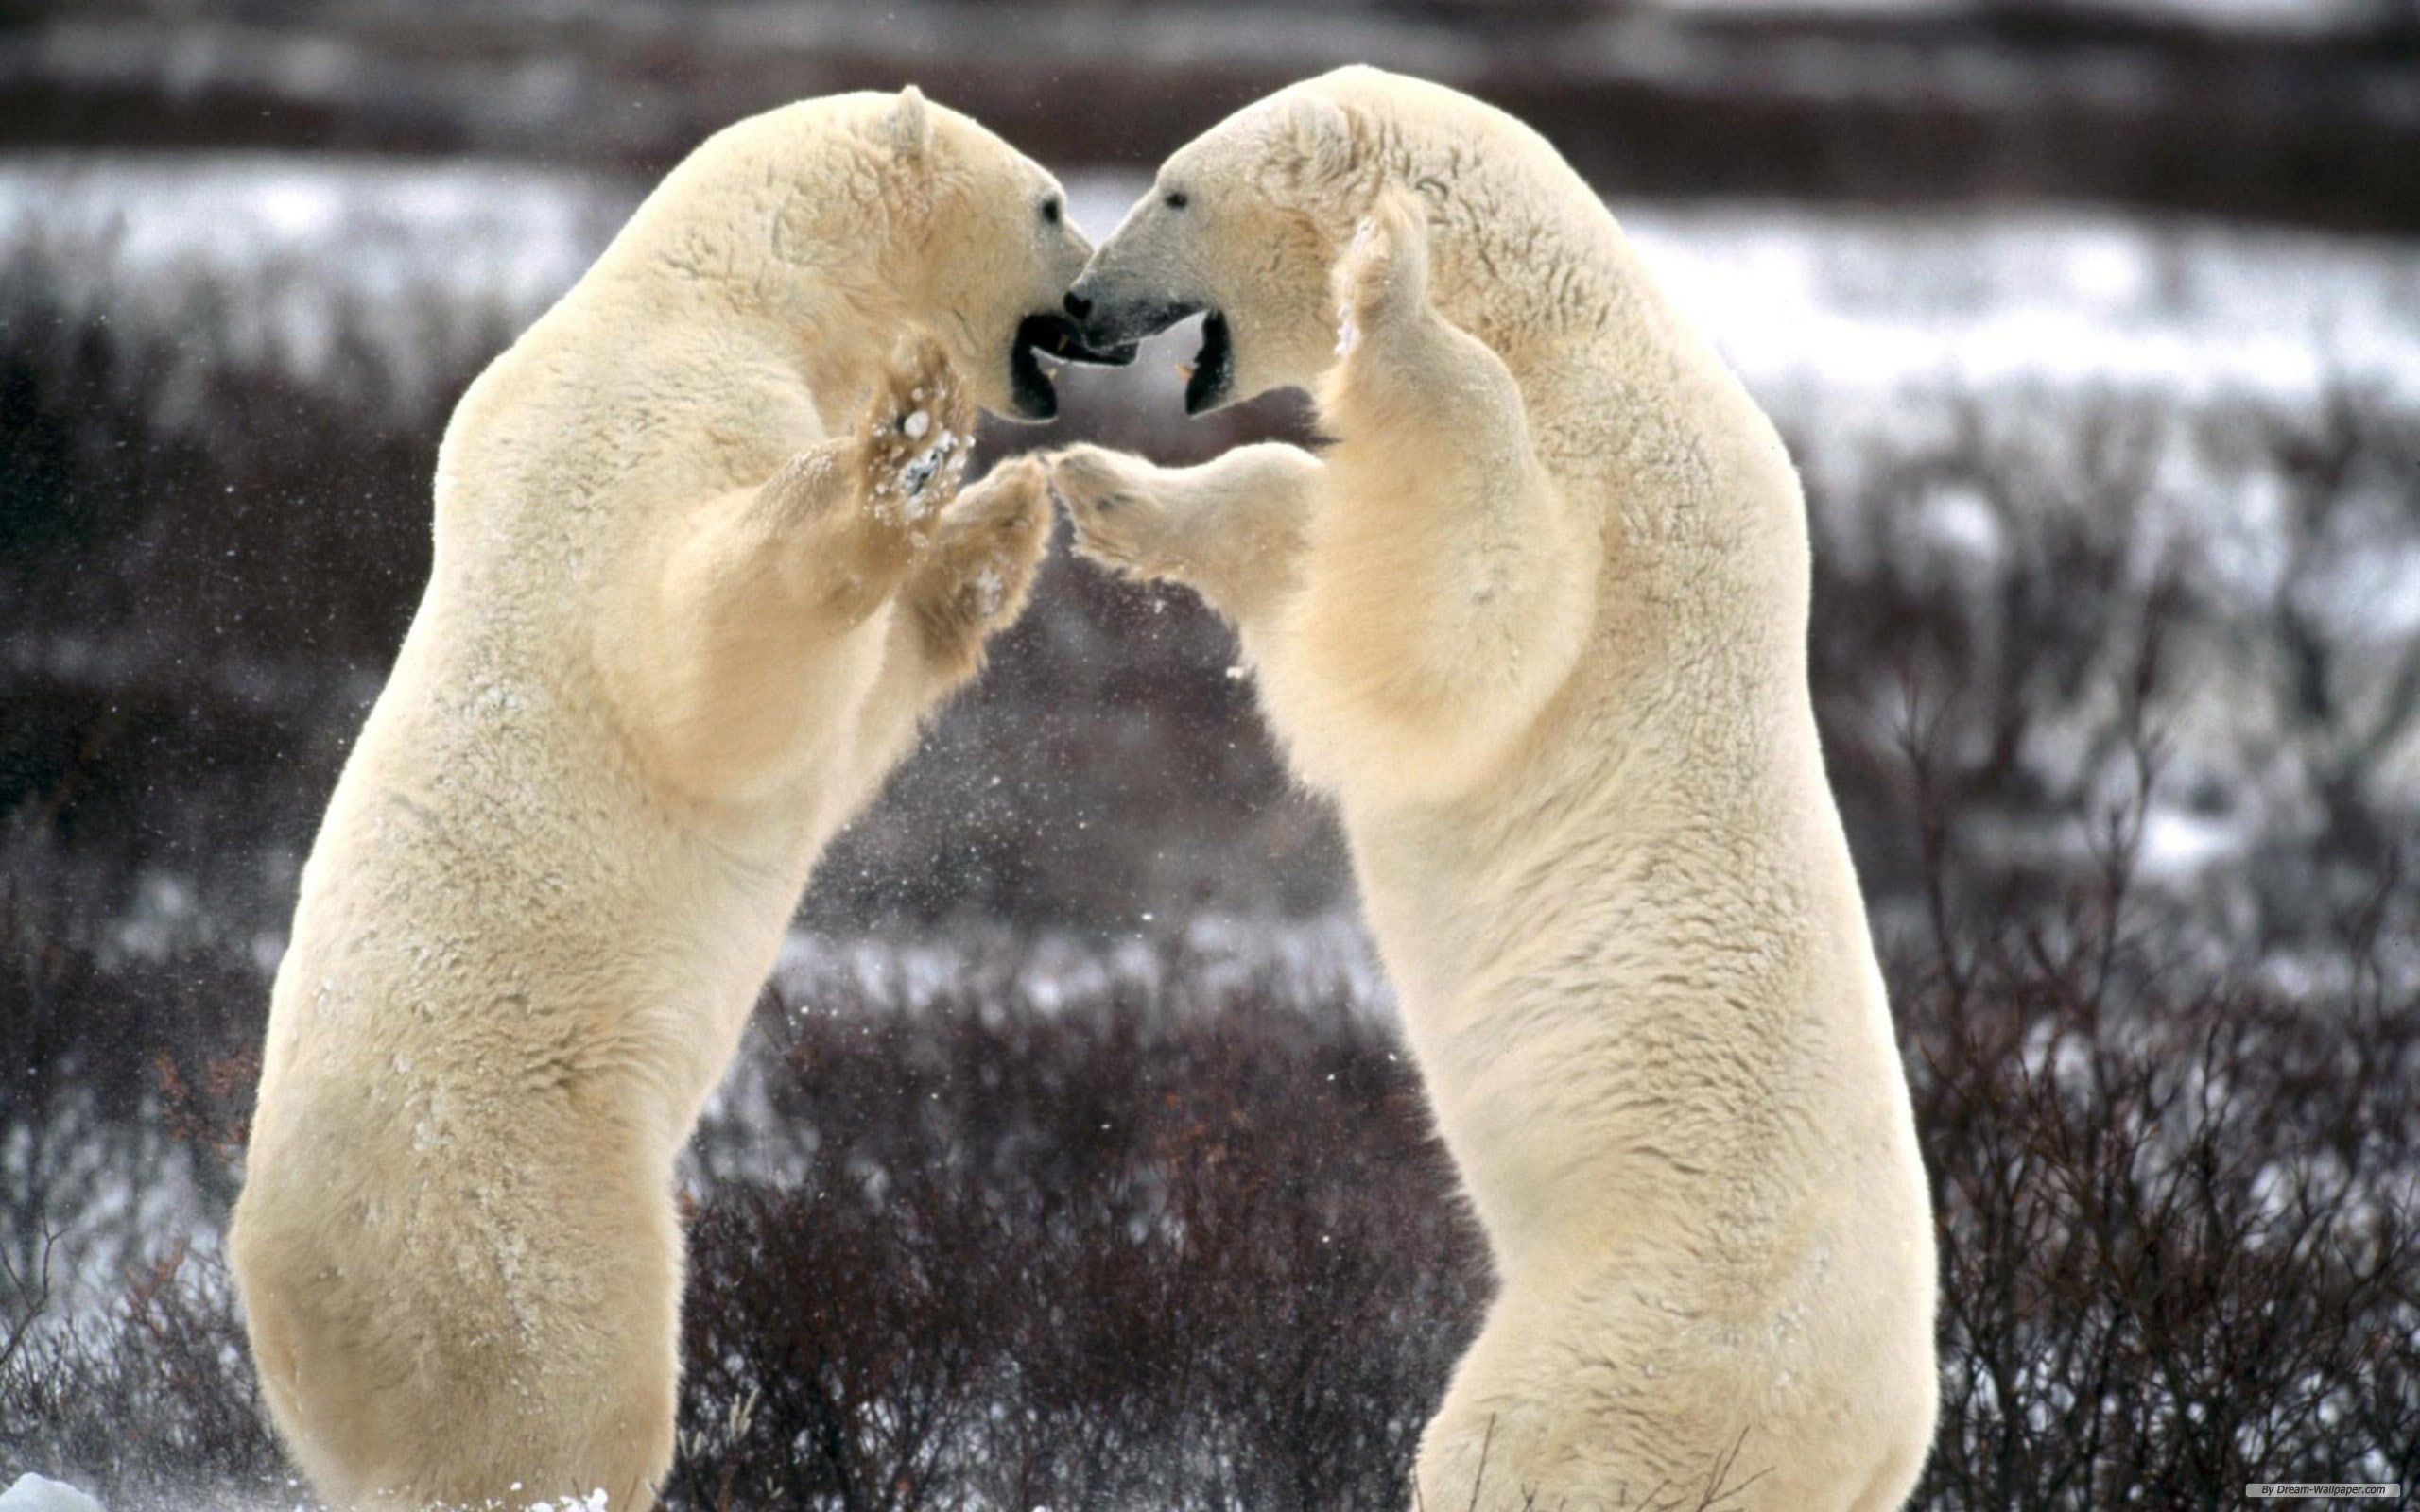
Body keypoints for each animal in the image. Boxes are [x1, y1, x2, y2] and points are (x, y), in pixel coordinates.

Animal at [226, 87, 1112, 1512]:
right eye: (1049, 203)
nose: (1093, 301)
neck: (726, 293)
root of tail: (278, 1313)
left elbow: (858, 710)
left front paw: (1001, 516)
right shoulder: (653, 433)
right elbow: (720, 666)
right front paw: (907, 442)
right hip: (507, 1201)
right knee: (560, 1398)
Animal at [1047, 67, 1940, 1512]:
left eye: (1175, 191)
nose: (1077, 306)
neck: (1567, 332)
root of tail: (1877, 1447)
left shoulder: (1624, 504)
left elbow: (1469, 615)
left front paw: (1386, 280)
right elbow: (1319, 526)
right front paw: (1110, 491)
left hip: (1646, 1334)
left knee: (1521, 1445)